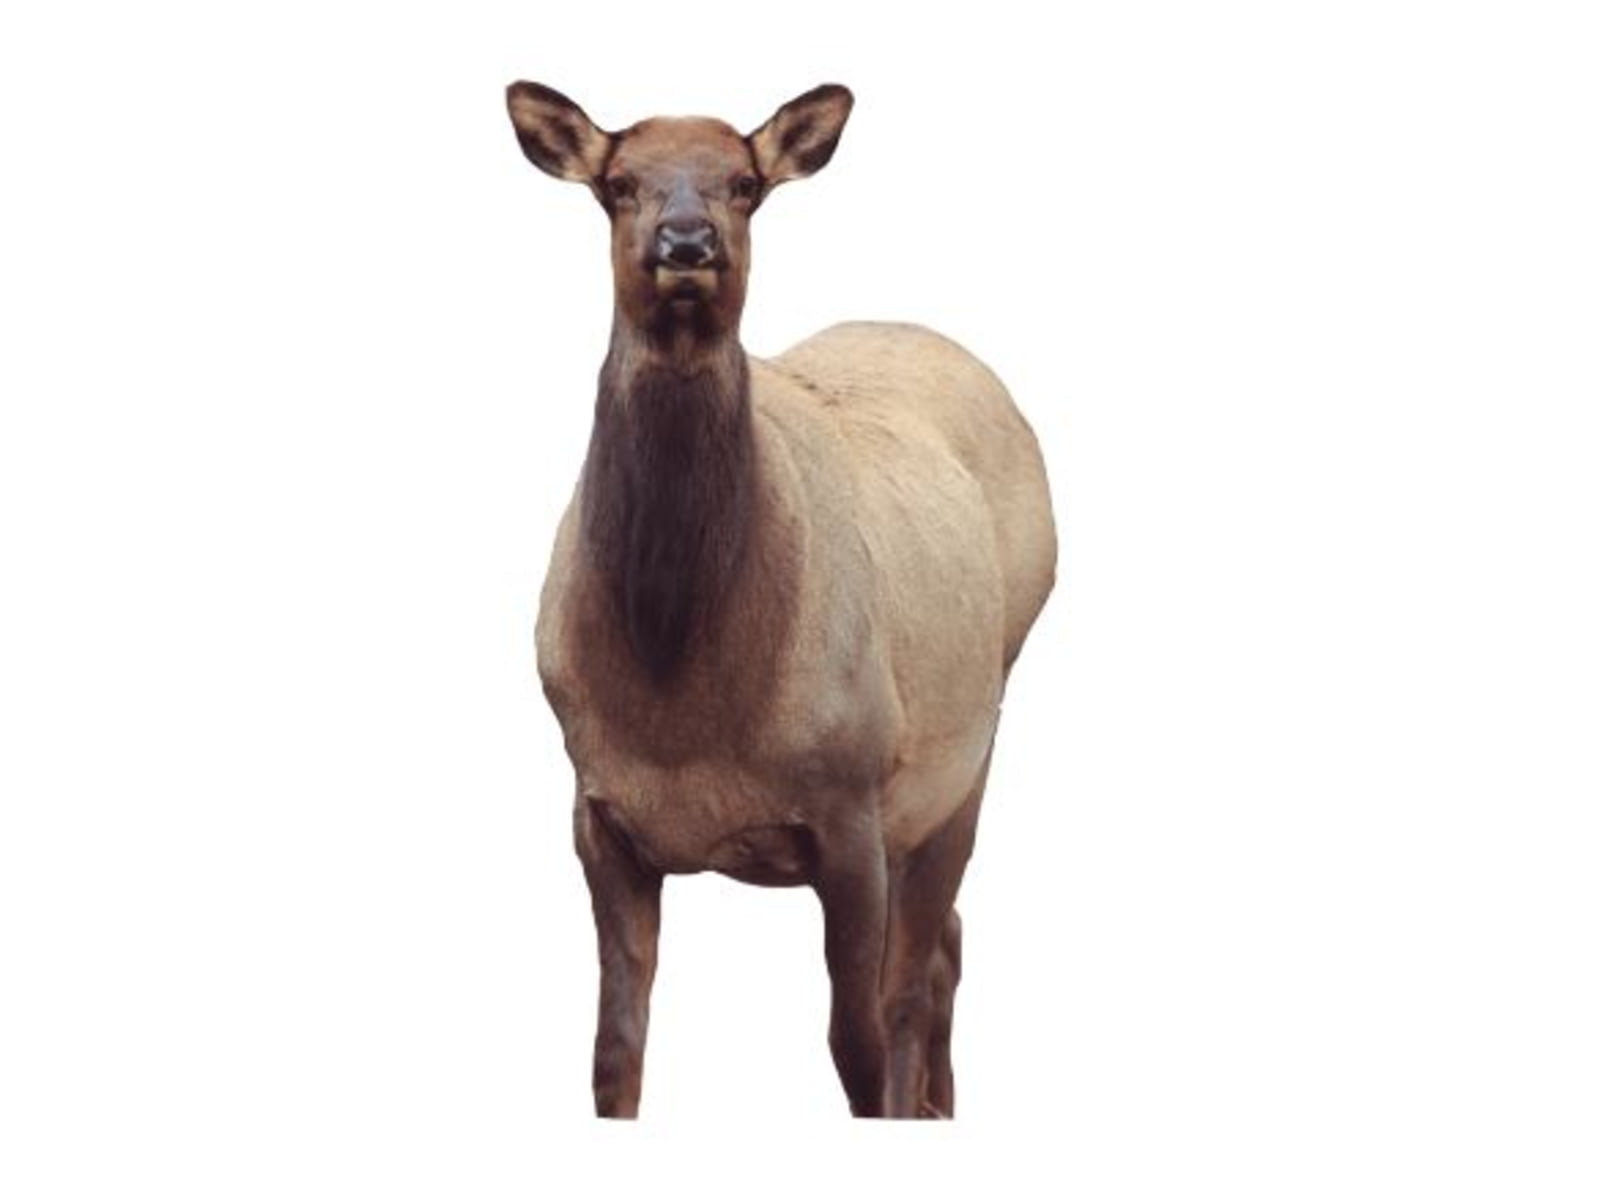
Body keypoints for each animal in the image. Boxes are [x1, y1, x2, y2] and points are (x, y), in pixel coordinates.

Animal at [506, 80, 1056, 1119]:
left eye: (746, 183)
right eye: (618, 183)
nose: (687, 242)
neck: (682, 705)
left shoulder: (850, 803)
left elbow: (858, 1043)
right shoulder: (598, 811)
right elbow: (613, 1055)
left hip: (965, 756)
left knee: (918, 977)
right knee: (950, 945)